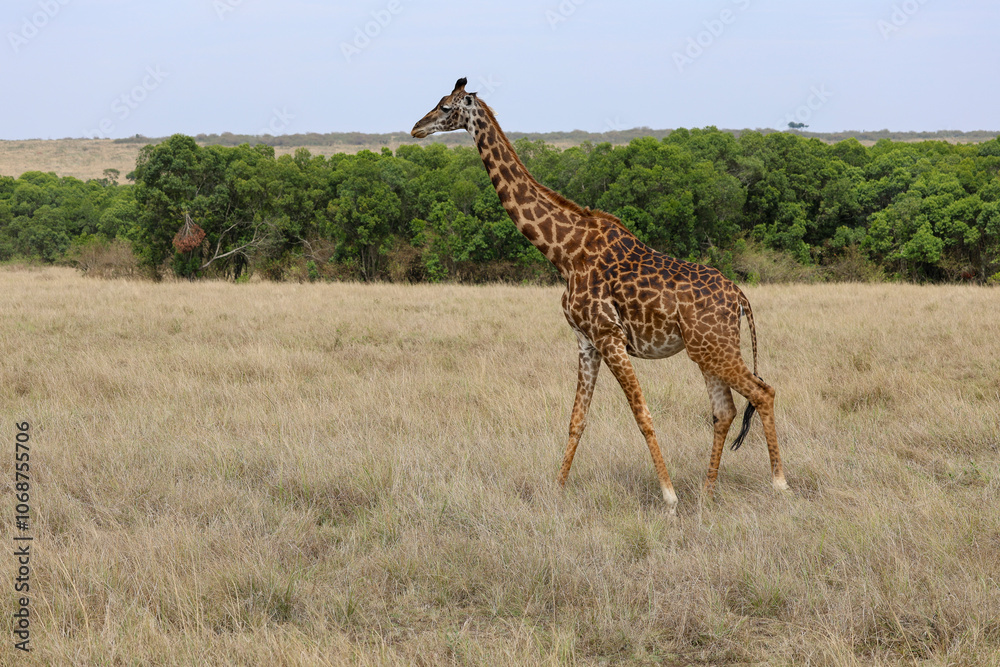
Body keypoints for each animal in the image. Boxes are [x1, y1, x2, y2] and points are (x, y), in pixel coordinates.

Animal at [411, 78, 788, 513]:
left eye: (444, 107)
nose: (416, 128)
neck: (563, 251)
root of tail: (740, 296)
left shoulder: (609, 336)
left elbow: (642, 415)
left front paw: (669, 496)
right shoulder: (586, 340)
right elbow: (577, 419)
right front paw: (557, 491)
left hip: (716, 347)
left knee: (763, 392)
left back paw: (778, 484)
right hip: (706, 350)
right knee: (724, 411)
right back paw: (707, 494)